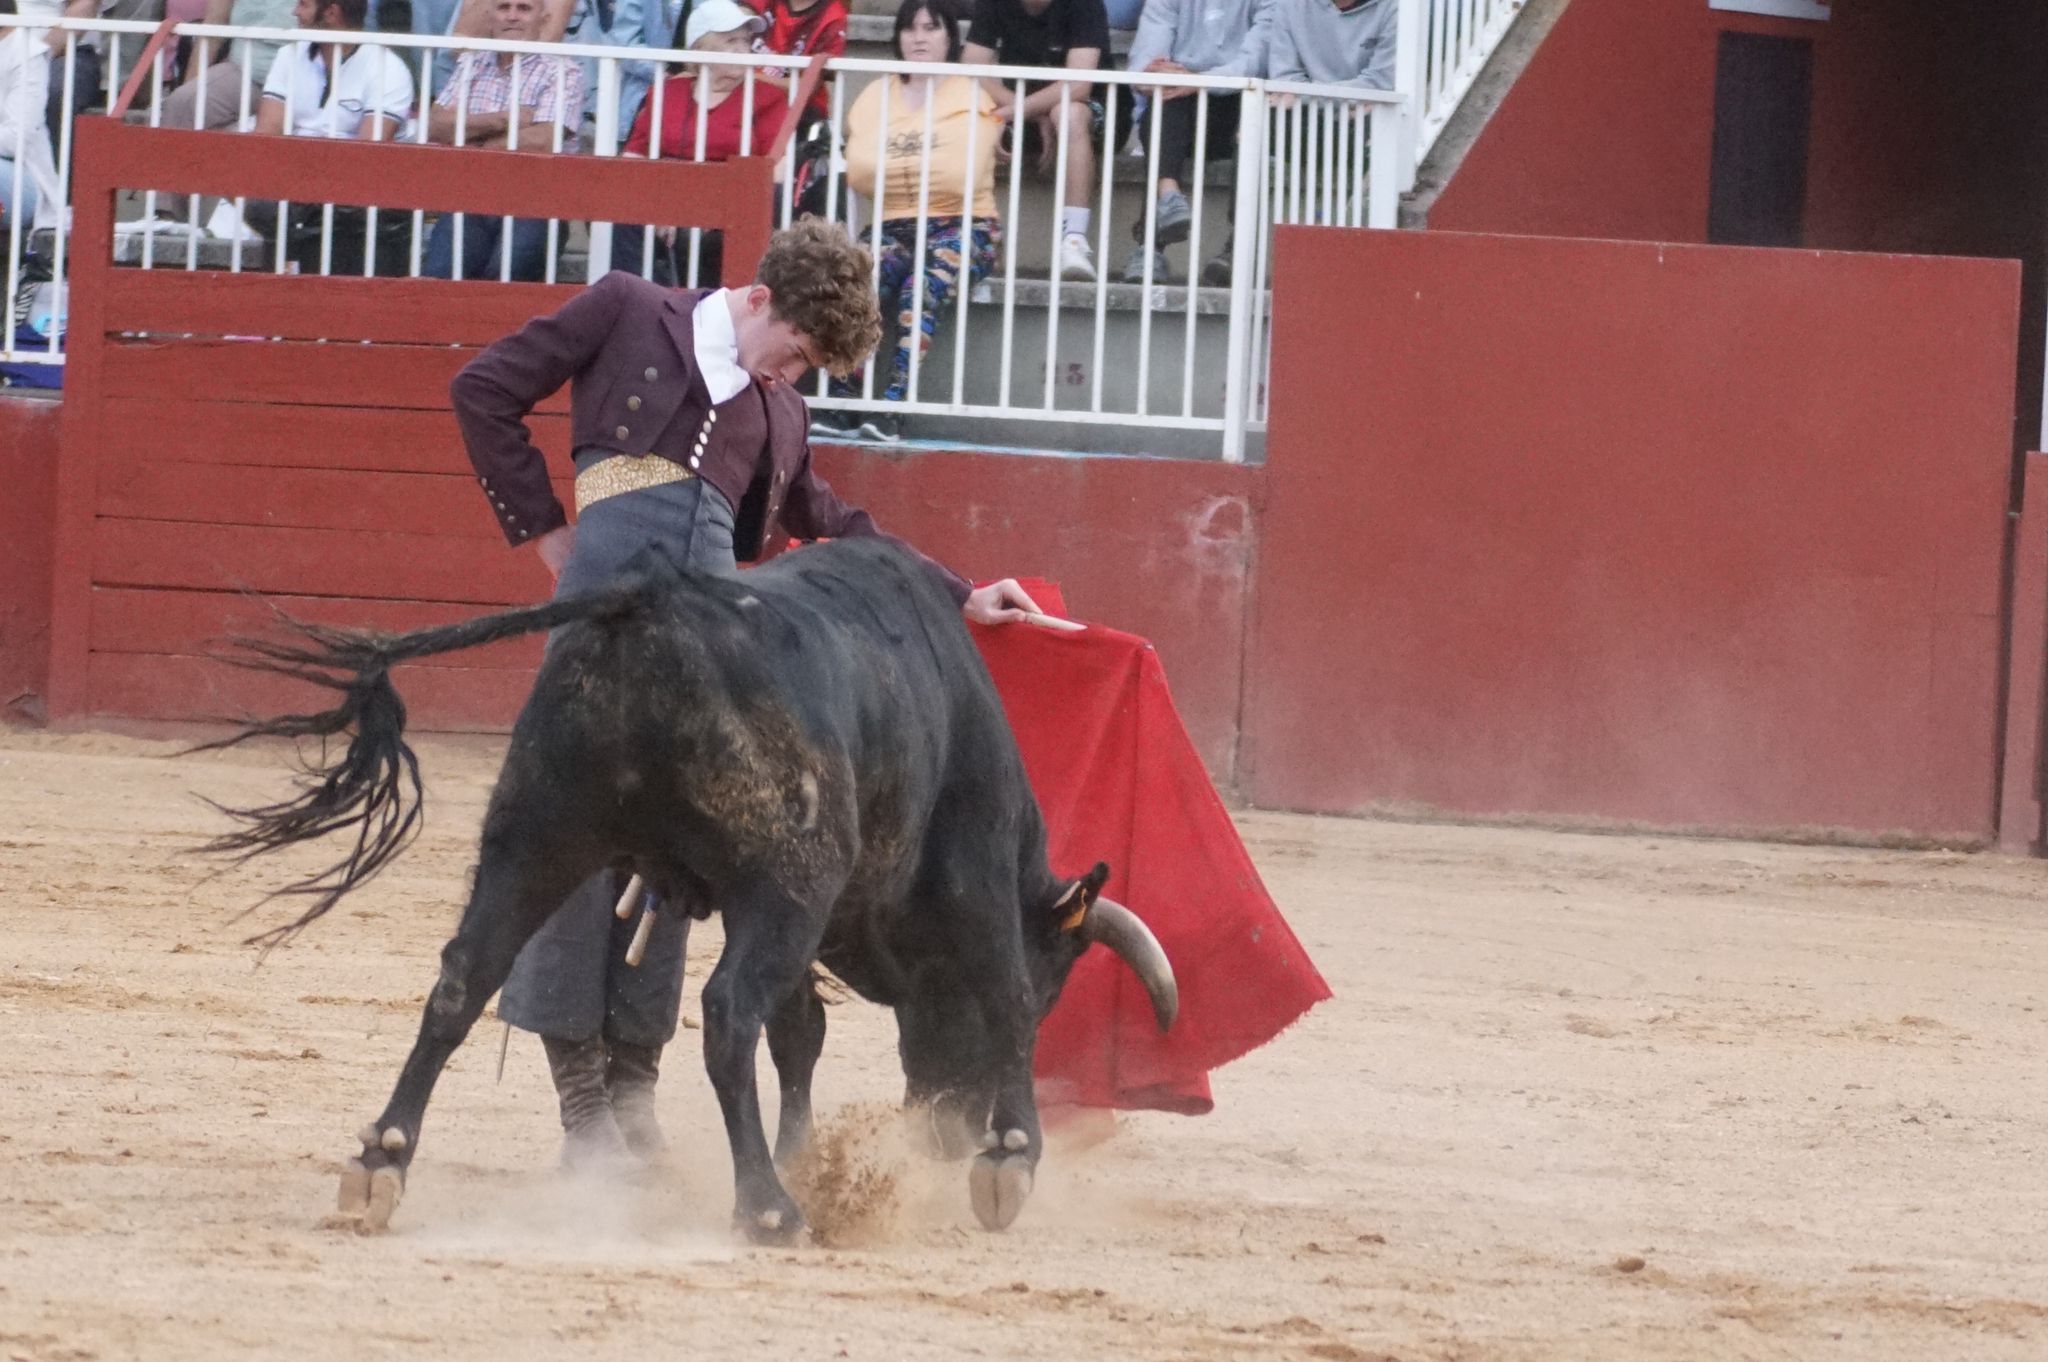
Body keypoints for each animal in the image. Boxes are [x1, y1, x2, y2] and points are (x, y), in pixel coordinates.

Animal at [205, 536, 1179, 1237]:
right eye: (1060, 988)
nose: (946, 1131)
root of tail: (645, 604)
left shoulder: (816, 924)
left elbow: (802, 1033)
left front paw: (803, 1153)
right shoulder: (957, 877)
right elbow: (996, 993)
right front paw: (1009, 1156)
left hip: (535, 839)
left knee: (462, 979)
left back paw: (381, 1163)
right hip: (783, 880)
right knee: (724, 1012)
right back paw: (768, 1208)